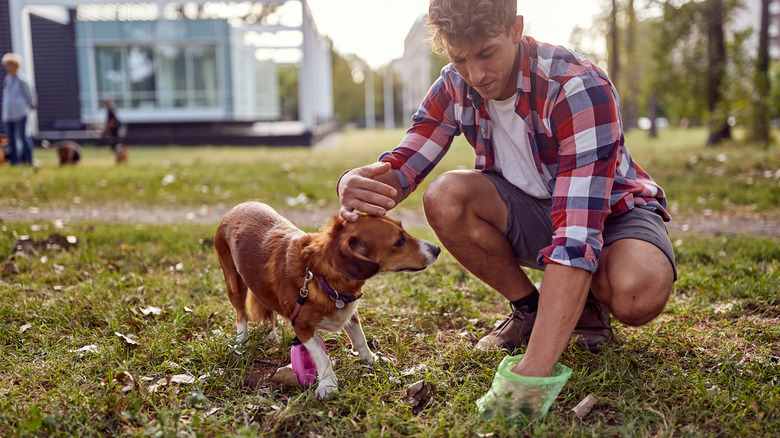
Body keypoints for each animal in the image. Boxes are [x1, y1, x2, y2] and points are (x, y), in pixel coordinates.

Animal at [213, 203, 442, 400]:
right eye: (399, 241)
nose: (437, 249)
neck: (320, 274)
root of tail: (238, 207)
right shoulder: (302, 326)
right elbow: (322, 358)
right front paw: (328, 384)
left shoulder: (349, 312)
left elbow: (360, 339)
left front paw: (370, 360)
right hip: (234, 283)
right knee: (241, 315)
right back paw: (241, 342)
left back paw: (272, 335)